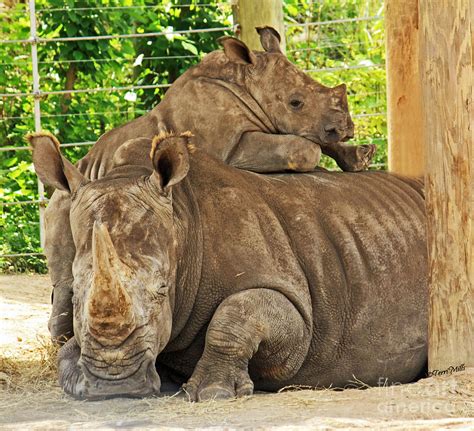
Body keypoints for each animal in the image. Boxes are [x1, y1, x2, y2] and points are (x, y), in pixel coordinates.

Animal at [28, 132, 426, 402]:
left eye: (162, 291)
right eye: (75, 296)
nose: (114, 384)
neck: (184, 224)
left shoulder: (293, 301)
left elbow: (237, 315)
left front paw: (212, 393)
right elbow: (66, 343)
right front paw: (74, 378)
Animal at [46, 27, 376, 344]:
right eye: (295, 103)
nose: (346, 128)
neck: (247, 82)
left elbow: (311, 140)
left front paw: (361, 156)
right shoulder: (228, 147)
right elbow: (304, 147)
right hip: (66, 200)